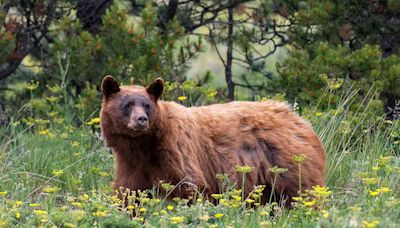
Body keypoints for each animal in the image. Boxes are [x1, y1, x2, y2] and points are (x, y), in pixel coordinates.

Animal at [100, 75, 324, 205]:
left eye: (146, 105)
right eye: (127, 104)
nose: (141, 120)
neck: (144, 145)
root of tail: (300, 120)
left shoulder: (176, 150)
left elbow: (191, 186)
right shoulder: (131, 163)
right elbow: (129, 191)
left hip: (288, 164)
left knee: (299, 193)